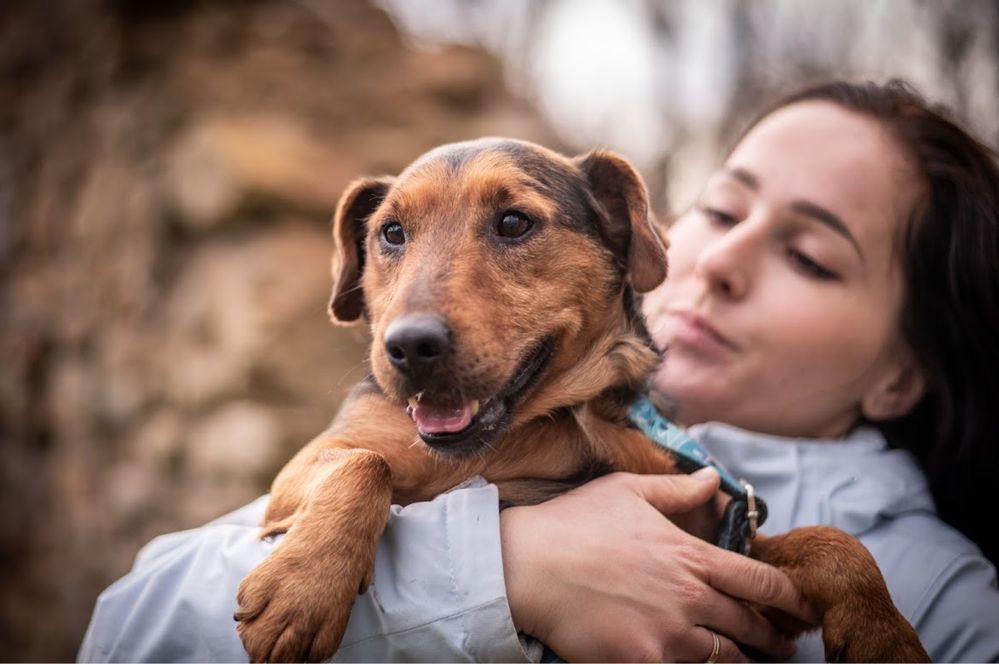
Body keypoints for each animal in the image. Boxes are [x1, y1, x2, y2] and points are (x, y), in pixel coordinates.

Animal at [234, 137, 928, 660]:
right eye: (392, 233)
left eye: (514, 222)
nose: (408, 346)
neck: (539, 429)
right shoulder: (295, 479)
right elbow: (365, 461)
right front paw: (301, 588)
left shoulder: (730, 563)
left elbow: (835, 543)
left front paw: (887, 637)